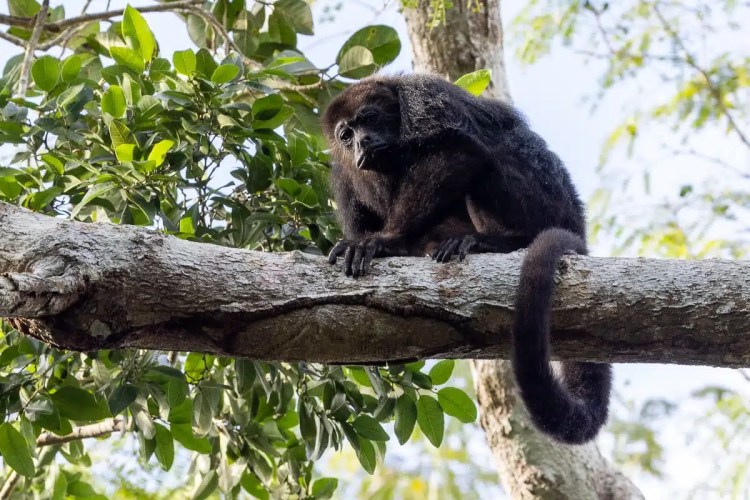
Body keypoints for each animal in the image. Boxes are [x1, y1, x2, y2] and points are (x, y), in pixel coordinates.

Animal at [321, 74, 611, 445]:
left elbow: (459, 149)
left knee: (488, 150)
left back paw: (498, 242)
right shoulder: (342, 180)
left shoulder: (425, 98)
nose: (362, 142)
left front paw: (387, 240)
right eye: (346, 135)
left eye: (369, 118)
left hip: (548, 200)